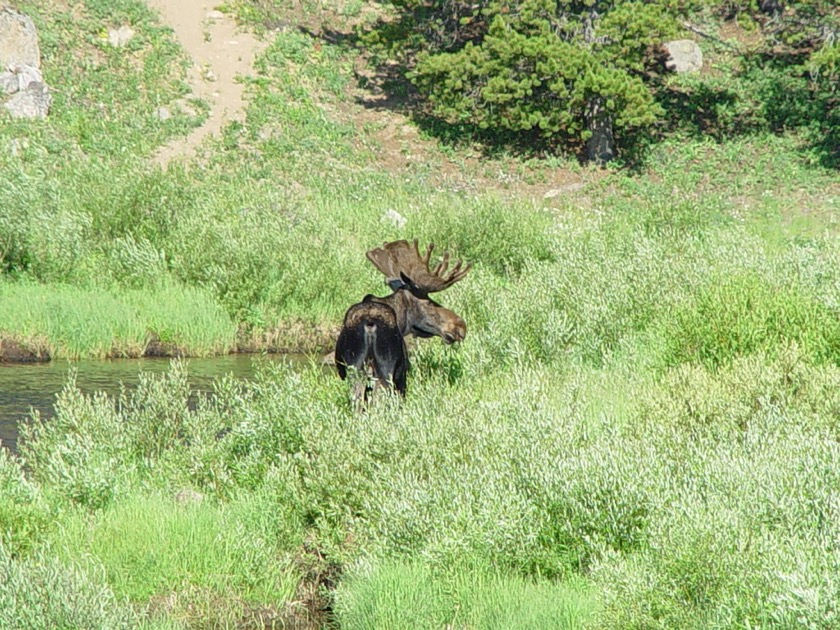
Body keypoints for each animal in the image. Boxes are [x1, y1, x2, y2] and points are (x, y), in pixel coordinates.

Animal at [334, 239, 470, 402]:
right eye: (428, 302)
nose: (460, 325)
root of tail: (369, 326)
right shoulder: (403, 370)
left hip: (356, 370)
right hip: (387, 369)